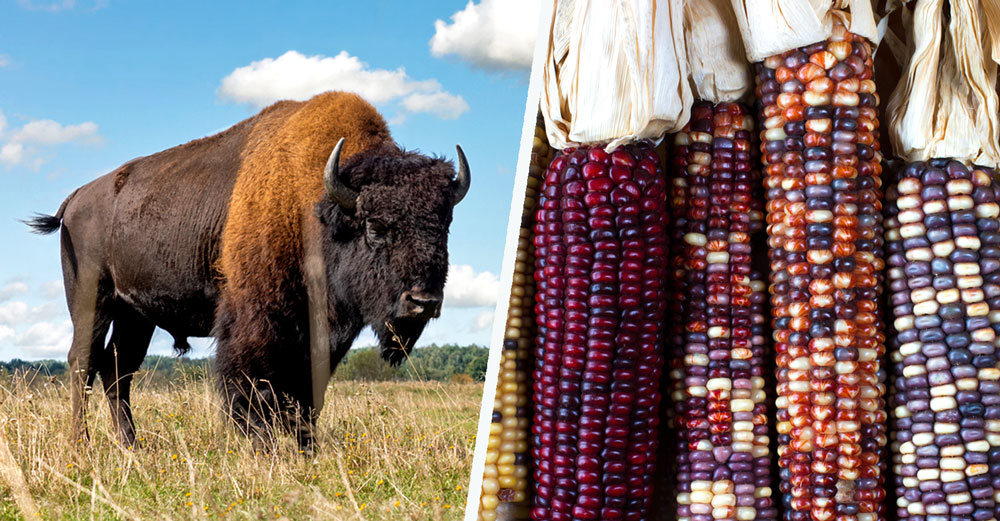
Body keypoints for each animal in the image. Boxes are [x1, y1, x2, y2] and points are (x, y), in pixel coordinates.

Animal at [26, 91, 472, 448]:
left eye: (444, 224)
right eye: (375, 226)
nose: (423, 302)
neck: (314, 207)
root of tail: (78, 198)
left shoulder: (320, 335)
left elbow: (307, 393)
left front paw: (305, 446)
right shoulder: (255, 322)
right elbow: (254, 387)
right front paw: (263, 446)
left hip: (136, 314)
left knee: (118, 369)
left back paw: (130, 446)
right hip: (92, 299)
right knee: (82, 362)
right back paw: (81, 445)